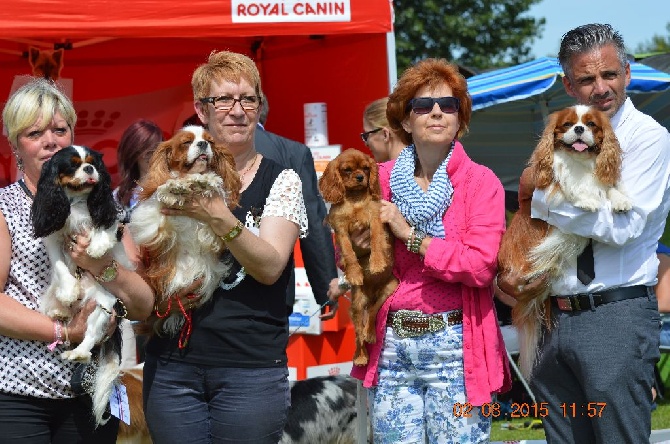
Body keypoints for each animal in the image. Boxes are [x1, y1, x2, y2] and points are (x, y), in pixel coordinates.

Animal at [32, 146, 133, 426]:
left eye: (92, 163)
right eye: (74, 165)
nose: (89, 170)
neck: (77, 201)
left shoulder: (110, 216)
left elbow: (104, 228)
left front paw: (97, 246)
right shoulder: (54, 237)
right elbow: (59, 265)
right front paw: (68, 291)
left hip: (103, 305)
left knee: (91, 337)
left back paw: (76, 353)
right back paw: (62, 309)